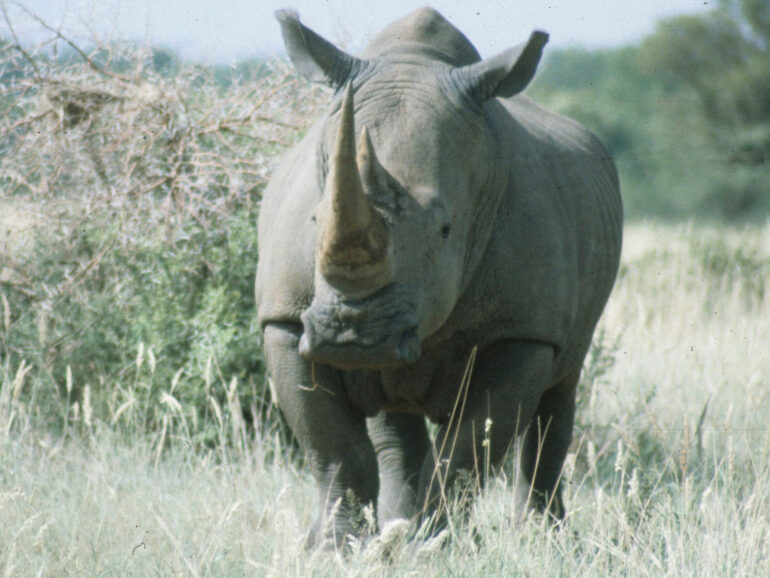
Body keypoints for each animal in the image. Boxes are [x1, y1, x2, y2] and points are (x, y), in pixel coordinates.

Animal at [256, 8, 622, 546]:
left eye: (446, 229)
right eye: (314, 220)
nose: (353, 335)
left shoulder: (522, 332)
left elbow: (469, 449)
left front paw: (434, 545)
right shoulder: (285, 319)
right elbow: (333, 448)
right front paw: (334, 548)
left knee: (560, 391)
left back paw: (542, 536)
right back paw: (393, 527)